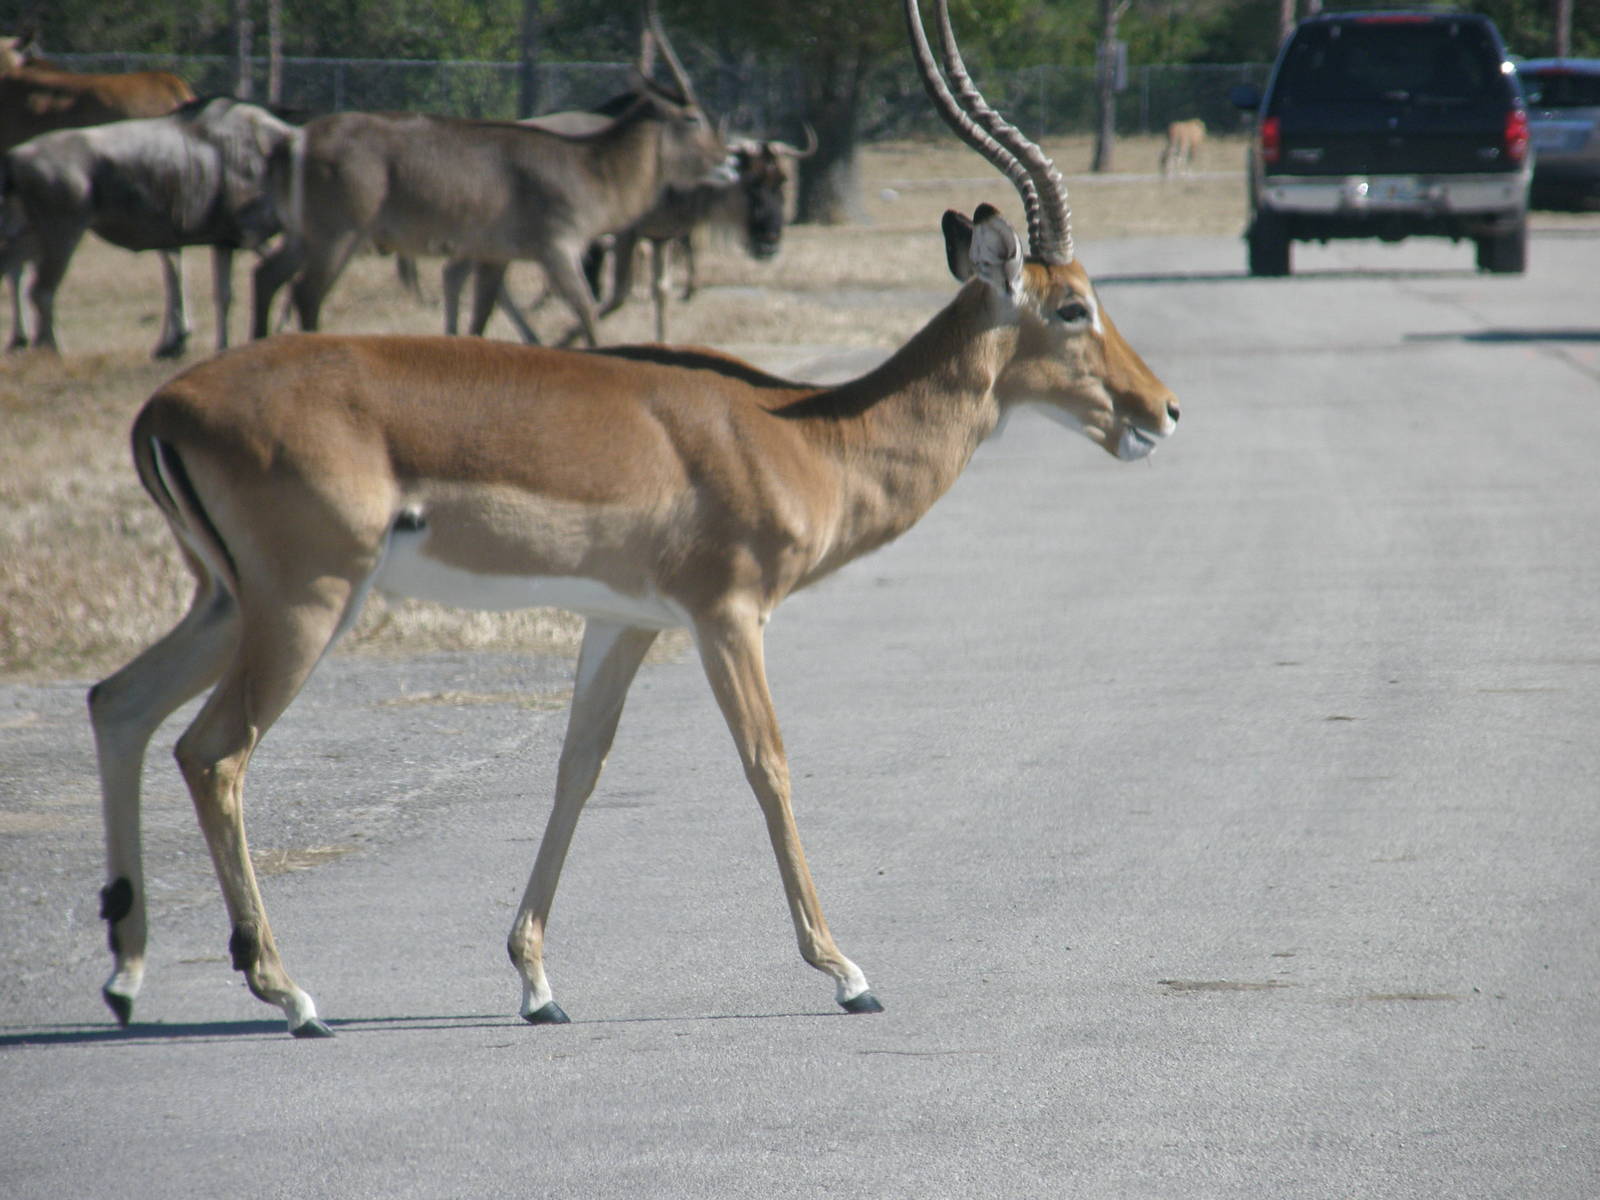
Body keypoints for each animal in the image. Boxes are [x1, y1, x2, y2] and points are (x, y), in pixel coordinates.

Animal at [89, 0, 1179, 1038]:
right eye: (1073, 307)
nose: (1161, 410)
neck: (804, 436)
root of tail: (163, 410)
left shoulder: (622, 621)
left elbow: (578, 767)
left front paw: (537, 983)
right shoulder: (727, 615)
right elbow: (769, 763)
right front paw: (847, 974)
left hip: (228, 600)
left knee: (119, 703)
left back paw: (128, 976)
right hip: (306, 602)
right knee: (213, 751)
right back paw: (290, 994)